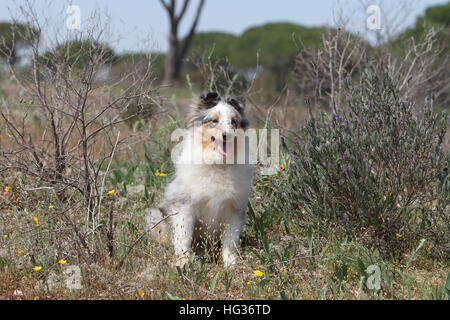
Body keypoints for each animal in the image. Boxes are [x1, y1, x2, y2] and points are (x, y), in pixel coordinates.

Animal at [147, 91, 255, 266]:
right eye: (214, 121)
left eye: (234, 122)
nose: (227, 135)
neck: (218, 164)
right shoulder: (184, 207)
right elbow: (183, 238)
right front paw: (183, 262)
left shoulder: (234, 209)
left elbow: (230, 241)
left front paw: (231, 264)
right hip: (154, 215)